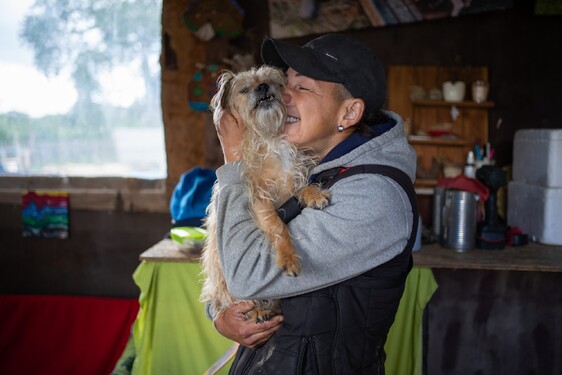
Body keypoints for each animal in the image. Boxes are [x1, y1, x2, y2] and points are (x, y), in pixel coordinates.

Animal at [199, 65, 328, 324]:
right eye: (244, 89)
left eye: (273, 82)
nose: (262, 87)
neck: (270, 137)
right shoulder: (259, 199)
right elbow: (278, 226)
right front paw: (288, 257)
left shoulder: (293, 177)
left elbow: (302, 185)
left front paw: (314, 194)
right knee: (234, 302)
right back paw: (256, 310)